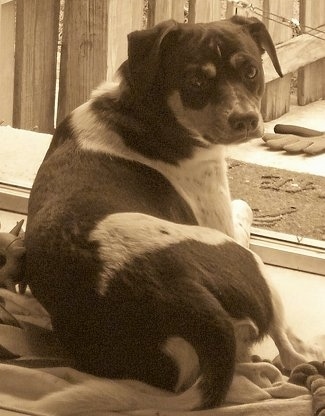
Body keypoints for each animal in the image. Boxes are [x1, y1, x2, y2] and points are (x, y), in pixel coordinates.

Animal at [24, 15, 308, 410]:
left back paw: (255, 374)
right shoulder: (220, 214)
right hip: (251, 266)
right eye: (196, 81)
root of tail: (178, 297)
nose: (246, 120)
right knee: (286, 347)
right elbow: (243, 208)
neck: (145, 110)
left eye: (250, 71)